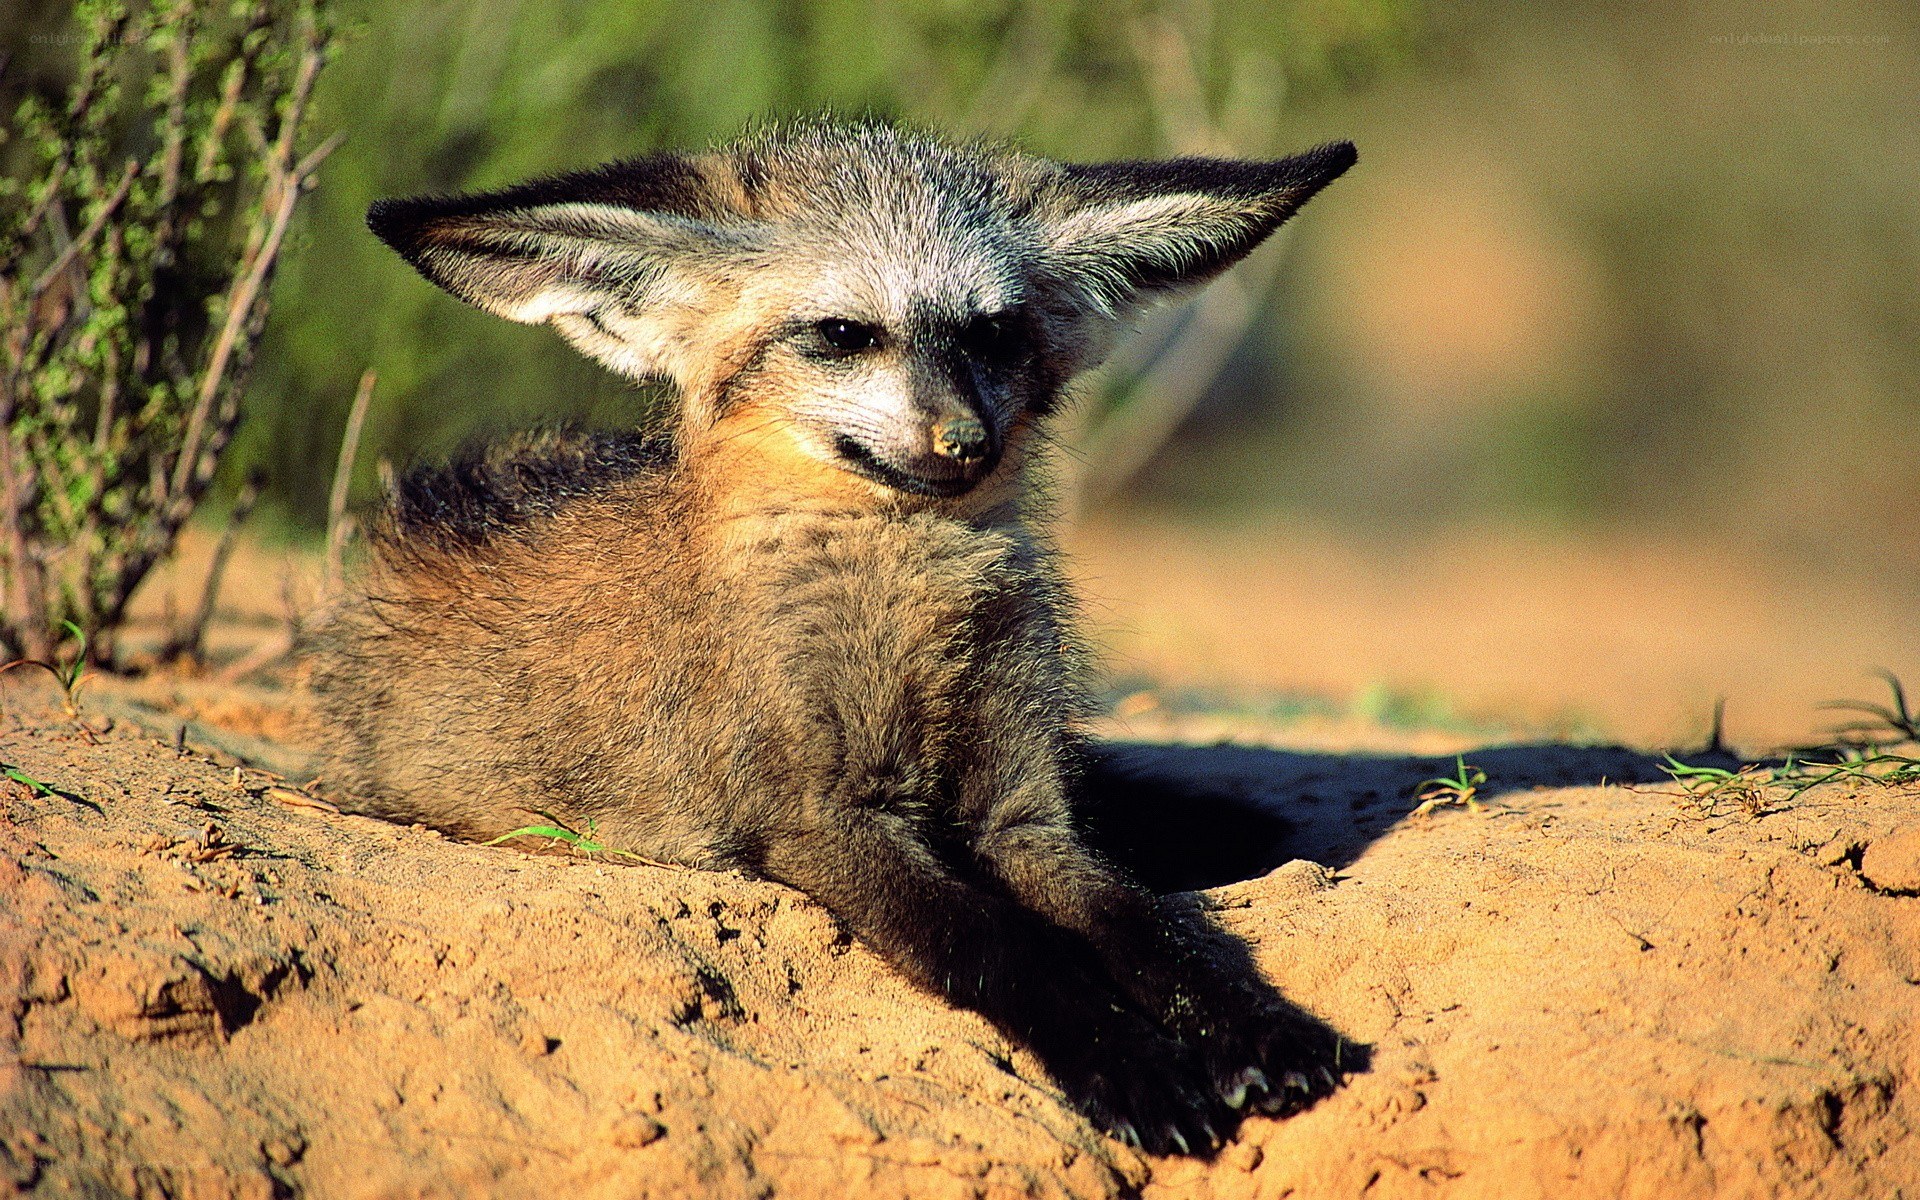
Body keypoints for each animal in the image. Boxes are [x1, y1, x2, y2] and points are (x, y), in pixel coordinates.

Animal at [311, 119, 1357, 1157]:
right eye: (845, 335)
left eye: (994, 334)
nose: (967, 441)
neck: (907, 609)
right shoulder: (820, 821)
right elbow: (1005, 951)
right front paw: (1133, 1068)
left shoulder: (1023, 815)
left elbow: (1152, 934)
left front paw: (1263, 1030)